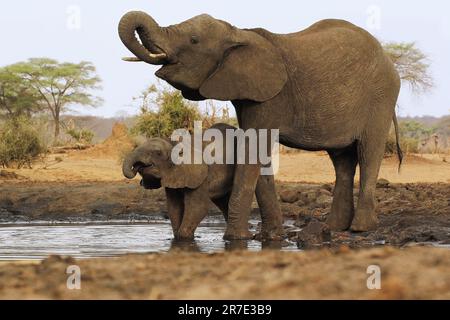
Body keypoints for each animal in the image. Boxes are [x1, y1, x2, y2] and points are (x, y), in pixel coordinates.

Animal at [118, 11, 402, 239]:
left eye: (194, 41)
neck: (238, 32)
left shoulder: (271, 96)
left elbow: (253, 151)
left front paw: (235, 239)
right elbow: (257, 153)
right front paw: (270, 237)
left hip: (381, 97)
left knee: (369, 152)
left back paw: (360, 229)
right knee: (342, 159)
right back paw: (334, 228)